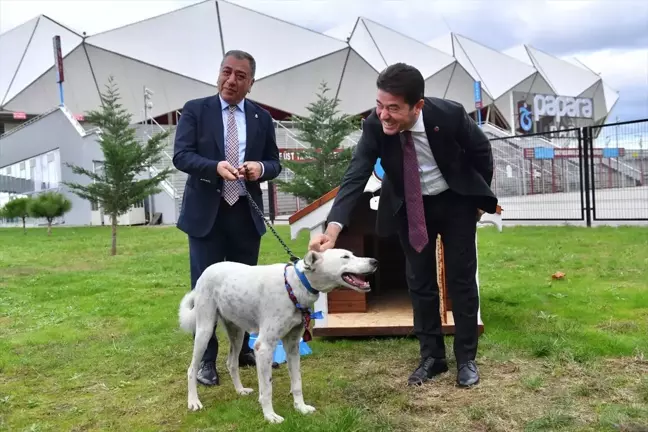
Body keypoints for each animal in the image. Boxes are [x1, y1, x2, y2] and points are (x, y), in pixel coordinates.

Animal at [177, 248, 380, 424]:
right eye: (345, 257)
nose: (375, 261)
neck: (294, 285)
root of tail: (209, 269)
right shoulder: (264, 347)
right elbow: (267, 389)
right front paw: (270, 416)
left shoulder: (292, 345)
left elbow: (297, 383)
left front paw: (301, 408)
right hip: (205, 330)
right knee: (191, 369)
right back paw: (193, 402)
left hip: (237, 333)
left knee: (231, 363)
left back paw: (240, 390)